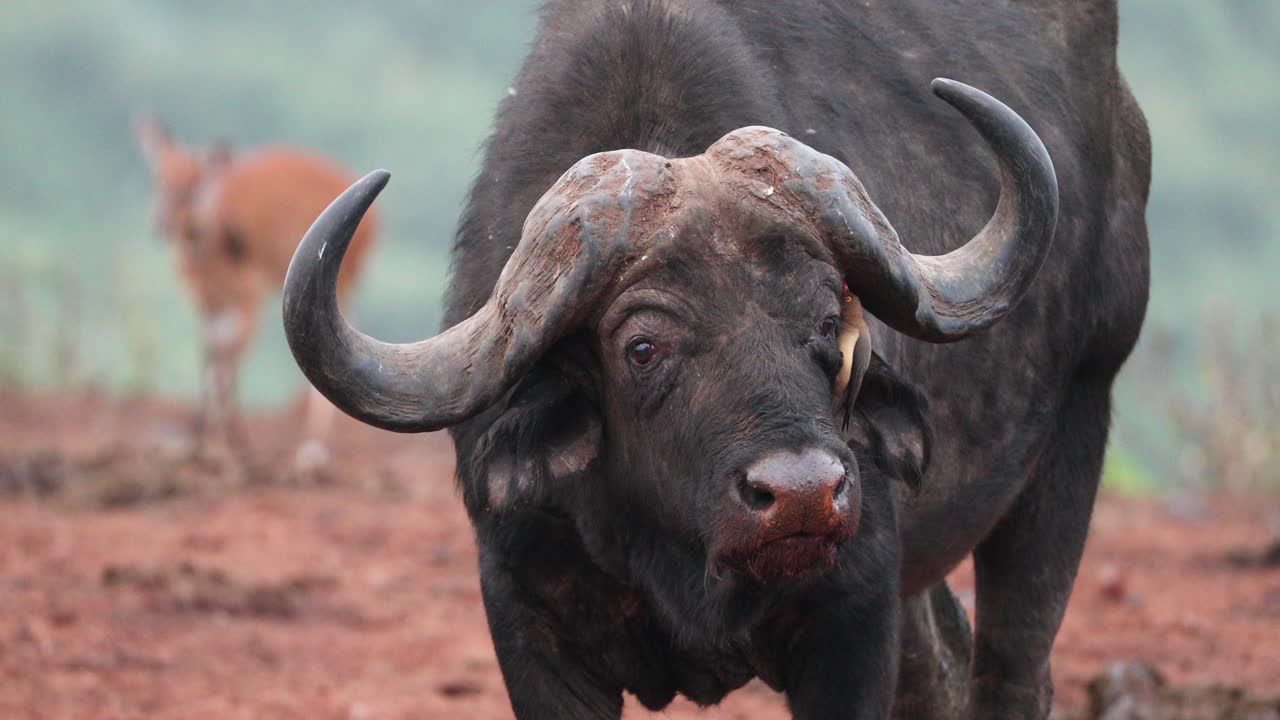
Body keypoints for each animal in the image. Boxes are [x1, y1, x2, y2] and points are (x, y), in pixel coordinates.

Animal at [283, 1, 1150, 718]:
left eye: (826, 321)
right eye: (642, 348)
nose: (803, 494)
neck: (683, 553)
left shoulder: (853, 617)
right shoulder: (529, 622)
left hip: (1079, 418)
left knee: (1011, 669)